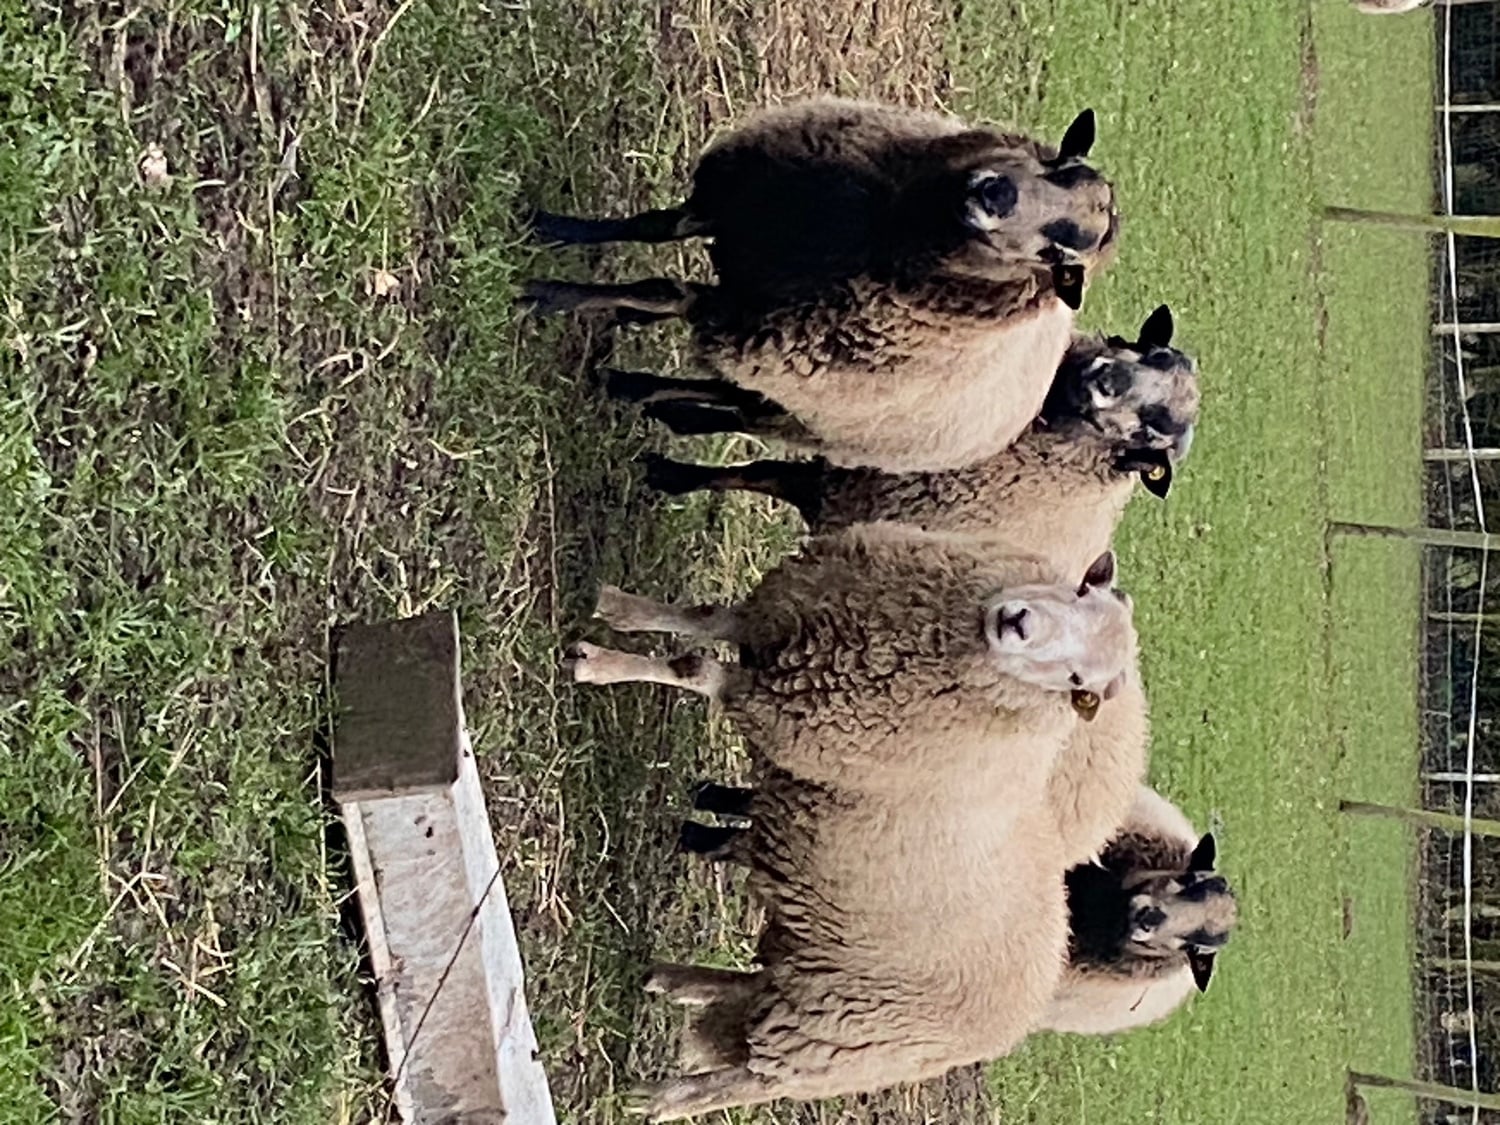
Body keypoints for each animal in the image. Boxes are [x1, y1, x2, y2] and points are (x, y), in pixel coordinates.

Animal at [521, 99, 1122, 473]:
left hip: (801, 410)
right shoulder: (736, 207)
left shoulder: (743, 314)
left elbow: (658, 289)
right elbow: (651, 227)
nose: (995, 195)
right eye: (1060, 163)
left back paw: (630, 388)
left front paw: (546, 294)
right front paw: (551, 229)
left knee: (732, 403)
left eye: (1056, 255)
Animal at [565, 524, 1138, 792]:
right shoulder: (775, 612)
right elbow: (703, 617)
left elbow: (691, 667)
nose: (1018, 622)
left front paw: (596, 664)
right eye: (1080, 590)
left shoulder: (766, 697)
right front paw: (619, 609)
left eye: (1077, 681)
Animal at [637, 304, 1198, 581]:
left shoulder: (843, 490)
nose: (1106, 380)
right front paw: (670, 445)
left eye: (1153, 433)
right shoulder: (847, 473)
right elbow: (748, 466)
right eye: (1145, 348)